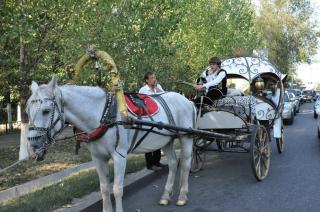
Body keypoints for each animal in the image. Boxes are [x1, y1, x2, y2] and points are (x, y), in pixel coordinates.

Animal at [26, 76, 195, 212]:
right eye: (27, 111)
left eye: (46, 111)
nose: (32, 148)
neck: (104, 115)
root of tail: (188, 101)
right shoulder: (98, 158)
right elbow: (104, 189)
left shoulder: (119, 156)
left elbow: (117, 189)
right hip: (167, 139)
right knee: (173, 163)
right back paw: (166, 196)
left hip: (186, 137)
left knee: (186, 164)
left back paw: (182, 196)